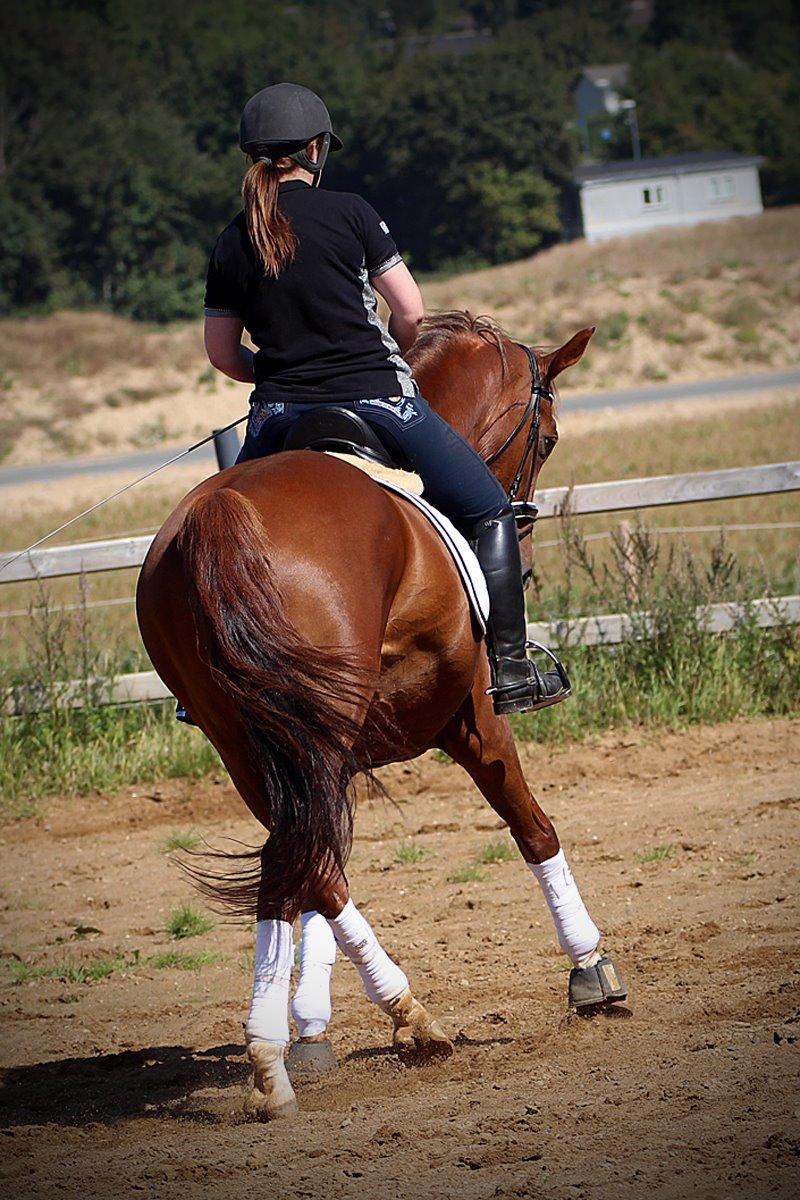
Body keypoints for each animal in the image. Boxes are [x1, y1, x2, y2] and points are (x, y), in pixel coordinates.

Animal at [137, 307, 623, 1113]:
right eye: (547, 437)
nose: (522, 557)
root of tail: (222, 514)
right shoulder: (472, 717)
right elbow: (533, 826)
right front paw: (591, 967)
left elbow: (317, 883)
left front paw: (312, 1029)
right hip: (316, 735)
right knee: (307, 866)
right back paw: (393, 1021)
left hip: (250, 746)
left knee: (305, 869)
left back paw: (288, 1050)